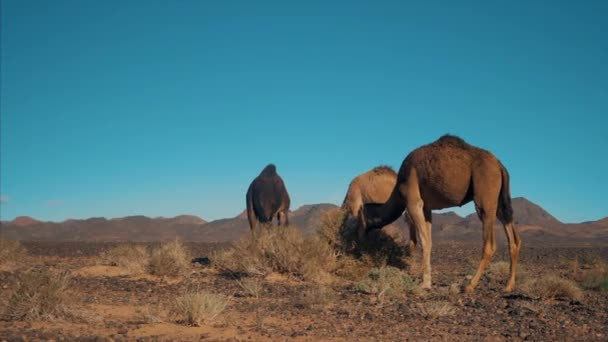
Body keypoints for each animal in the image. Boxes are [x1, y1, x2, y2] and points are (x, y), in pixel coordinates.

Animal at [364, 135, 520, 292]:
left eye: (363, 217)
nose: (363, 235)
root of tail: (500, 166)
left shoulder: (413, 201)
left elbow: (424, 241)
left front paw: (425, 283)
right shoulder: (426, 207)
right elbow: (429, 240)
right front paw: (426, 278)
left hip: (485, 195)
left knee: (490, 244)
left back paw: (470, 285)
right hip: (499, 201)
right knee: (513, 236)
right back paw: (509, 285)